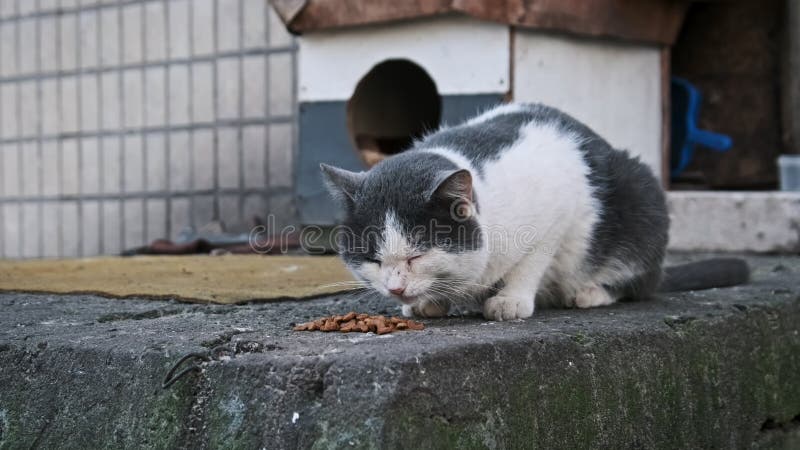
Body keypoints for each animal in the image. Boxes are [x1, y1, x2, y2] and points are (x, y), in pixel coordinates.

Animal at [320, 102, 752, 320]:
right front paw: (427, 303)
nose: (395, 288)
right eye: (373, 260)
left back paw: (590, 293)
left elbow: (532, 261)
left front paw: (511, 301)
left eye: (417, 255)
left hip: (643, 198)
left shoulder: (557, 213)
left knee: (639, 281)